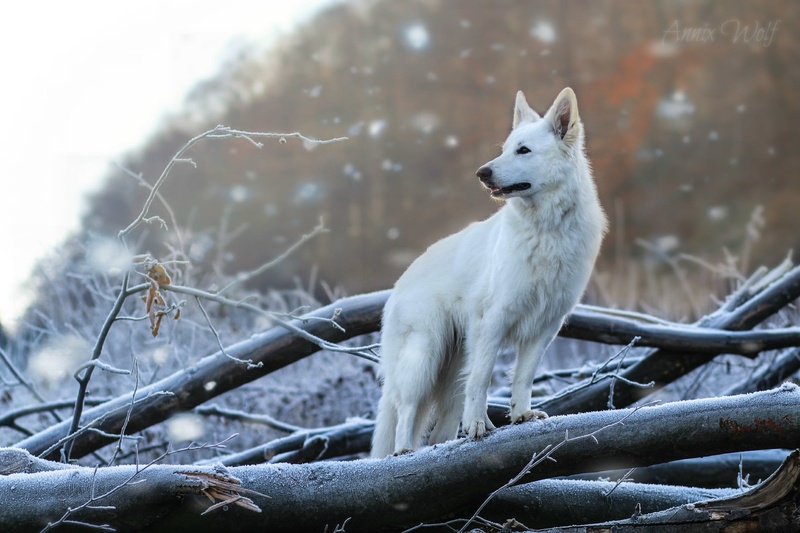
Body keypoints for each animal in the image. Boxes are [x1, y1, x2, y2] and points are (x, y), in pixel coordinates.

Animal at [370, 88, 606, 458]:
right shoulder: (494, 319)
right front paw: (479, 425)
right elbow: (482, 379)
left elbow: (523, 377)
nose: (482, 173)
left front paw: (522, 415)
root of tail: (399, 282)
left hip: (451, 371)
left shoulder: (545, 326)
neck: (547, 230)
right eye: (505, 148)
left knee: (439, 430)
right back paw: (405, 451)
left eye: (523, 150)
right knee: (405, 409)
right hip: (423, 358)